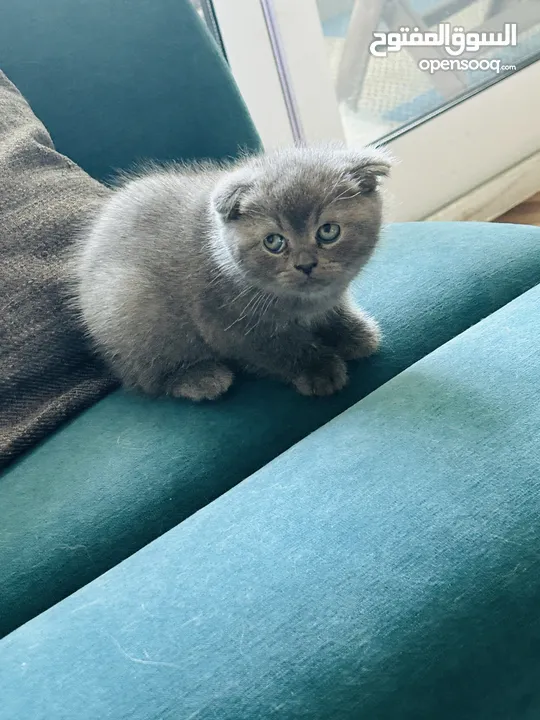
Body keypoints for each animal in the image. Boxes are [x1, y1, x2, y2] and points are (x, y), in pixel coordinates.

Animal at [73, 145, 392, 400]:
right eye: (274, 242)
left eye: (328, 231)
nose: (305, 265)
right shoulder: (227, 326)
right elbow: (279, 349)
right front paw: (318, 369)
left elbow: (335, 313)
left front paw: (354, 333)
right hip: (132, 302)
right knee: (148, 377)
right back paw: (199, 377)